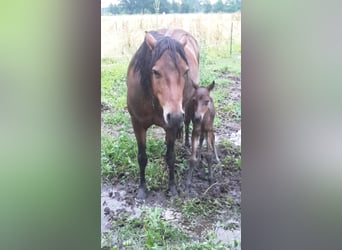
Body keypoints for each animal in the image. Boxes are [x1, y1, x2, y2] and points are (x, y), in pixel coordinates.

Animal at [127, 28, 199, 199]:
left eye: (186, 71)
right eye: (155, 71)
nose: (175, 116)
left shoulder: (170, 127)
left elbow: (170, 157)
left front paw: (172, 187)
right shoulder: (137, 124)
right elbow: (142, 157)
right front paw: (142, 188)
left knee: (187, 122)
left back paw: (187, 141)